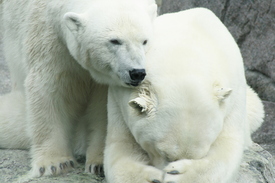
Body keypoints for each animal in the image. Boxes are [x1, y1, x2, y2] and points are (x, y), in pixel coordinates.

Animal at [0, 0, 157, 178]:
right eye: (114, 41)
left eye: (145, 41)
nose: (137, 72)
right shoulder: (48, 36)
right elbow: (48, 90)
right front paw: (54, 163)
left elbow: (102, 108)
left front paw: (98, 163)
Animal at [104, 7, 264, 183]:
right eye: (163, 152)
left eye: (197, 156)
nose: (168, 168)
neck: (183, 53)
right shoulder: (119, 98)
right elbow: (121, 146)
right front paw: (153, 177)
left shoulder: (234, 95)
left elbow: (227, 146)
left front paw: (177, 173)